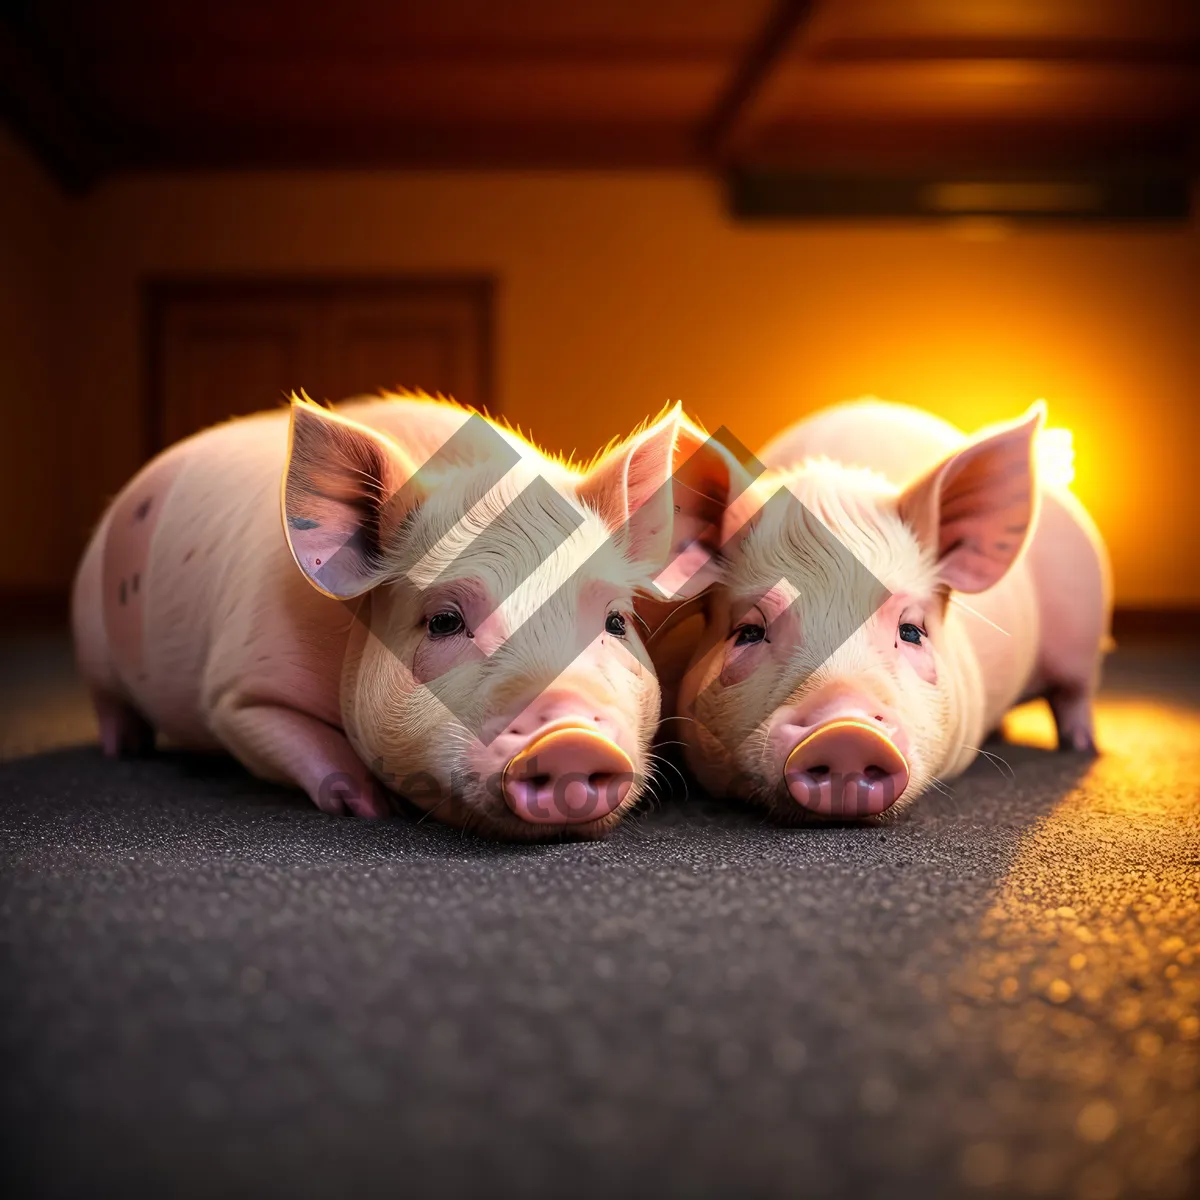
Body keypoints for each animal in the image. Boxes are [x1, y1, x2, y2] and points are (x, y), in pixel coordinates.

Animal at [75, 388, 691, 840]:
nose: (570, 739)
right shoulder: (235, 689)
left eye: (615, 622)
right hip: (91, 638)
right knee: (109, 703)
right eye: (443, 621)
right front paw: (369, 807)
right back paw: (124, 749)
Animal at [672, 398, 1108, 820]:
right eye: (749, 632)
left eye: (911, 630)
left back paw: (1083, 747)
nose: (845, 732)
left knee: (1075, 692)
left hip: (1082, 636)